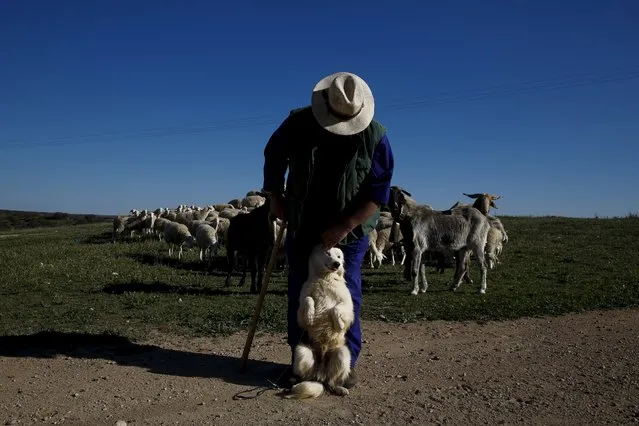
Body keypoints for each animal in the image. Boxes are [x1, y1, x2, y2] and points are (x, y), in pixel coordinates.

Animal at [284, 243, 356, 400]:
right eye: (327, 253)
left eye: (339, 256)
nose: (337, 263)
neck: (325, 278)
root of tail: (320, 375)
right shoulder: (300, 308)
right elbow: (308, 299)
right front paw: (310, 315)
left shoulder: (347, 305)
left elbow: (336, 308)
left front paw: (338, 324)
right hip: (301, 351)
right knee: (306, 377)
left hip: (342, 353)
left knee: (332, 381)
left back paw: (339, 388)